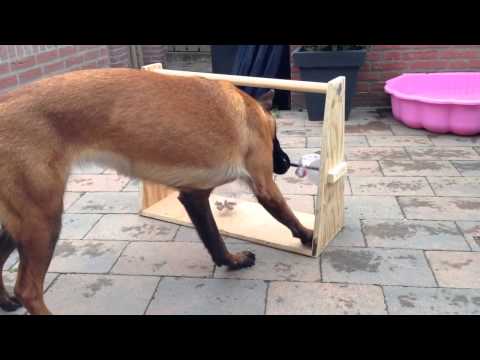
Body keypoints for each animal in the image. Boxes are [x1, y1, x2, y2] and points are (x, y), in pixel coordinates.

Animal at [0, 68, 314, 316]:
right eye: (275, 138)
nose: (285, 163)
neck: (249, 109)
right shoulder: (265, 187)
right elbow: (288, 216)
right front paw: (310, 237)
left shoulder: (194, 196)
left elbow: (214, 241)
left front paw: (231, 263)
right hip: (43, 219)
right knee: (28, 290)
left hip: (20, 223)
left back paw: (6, 302)